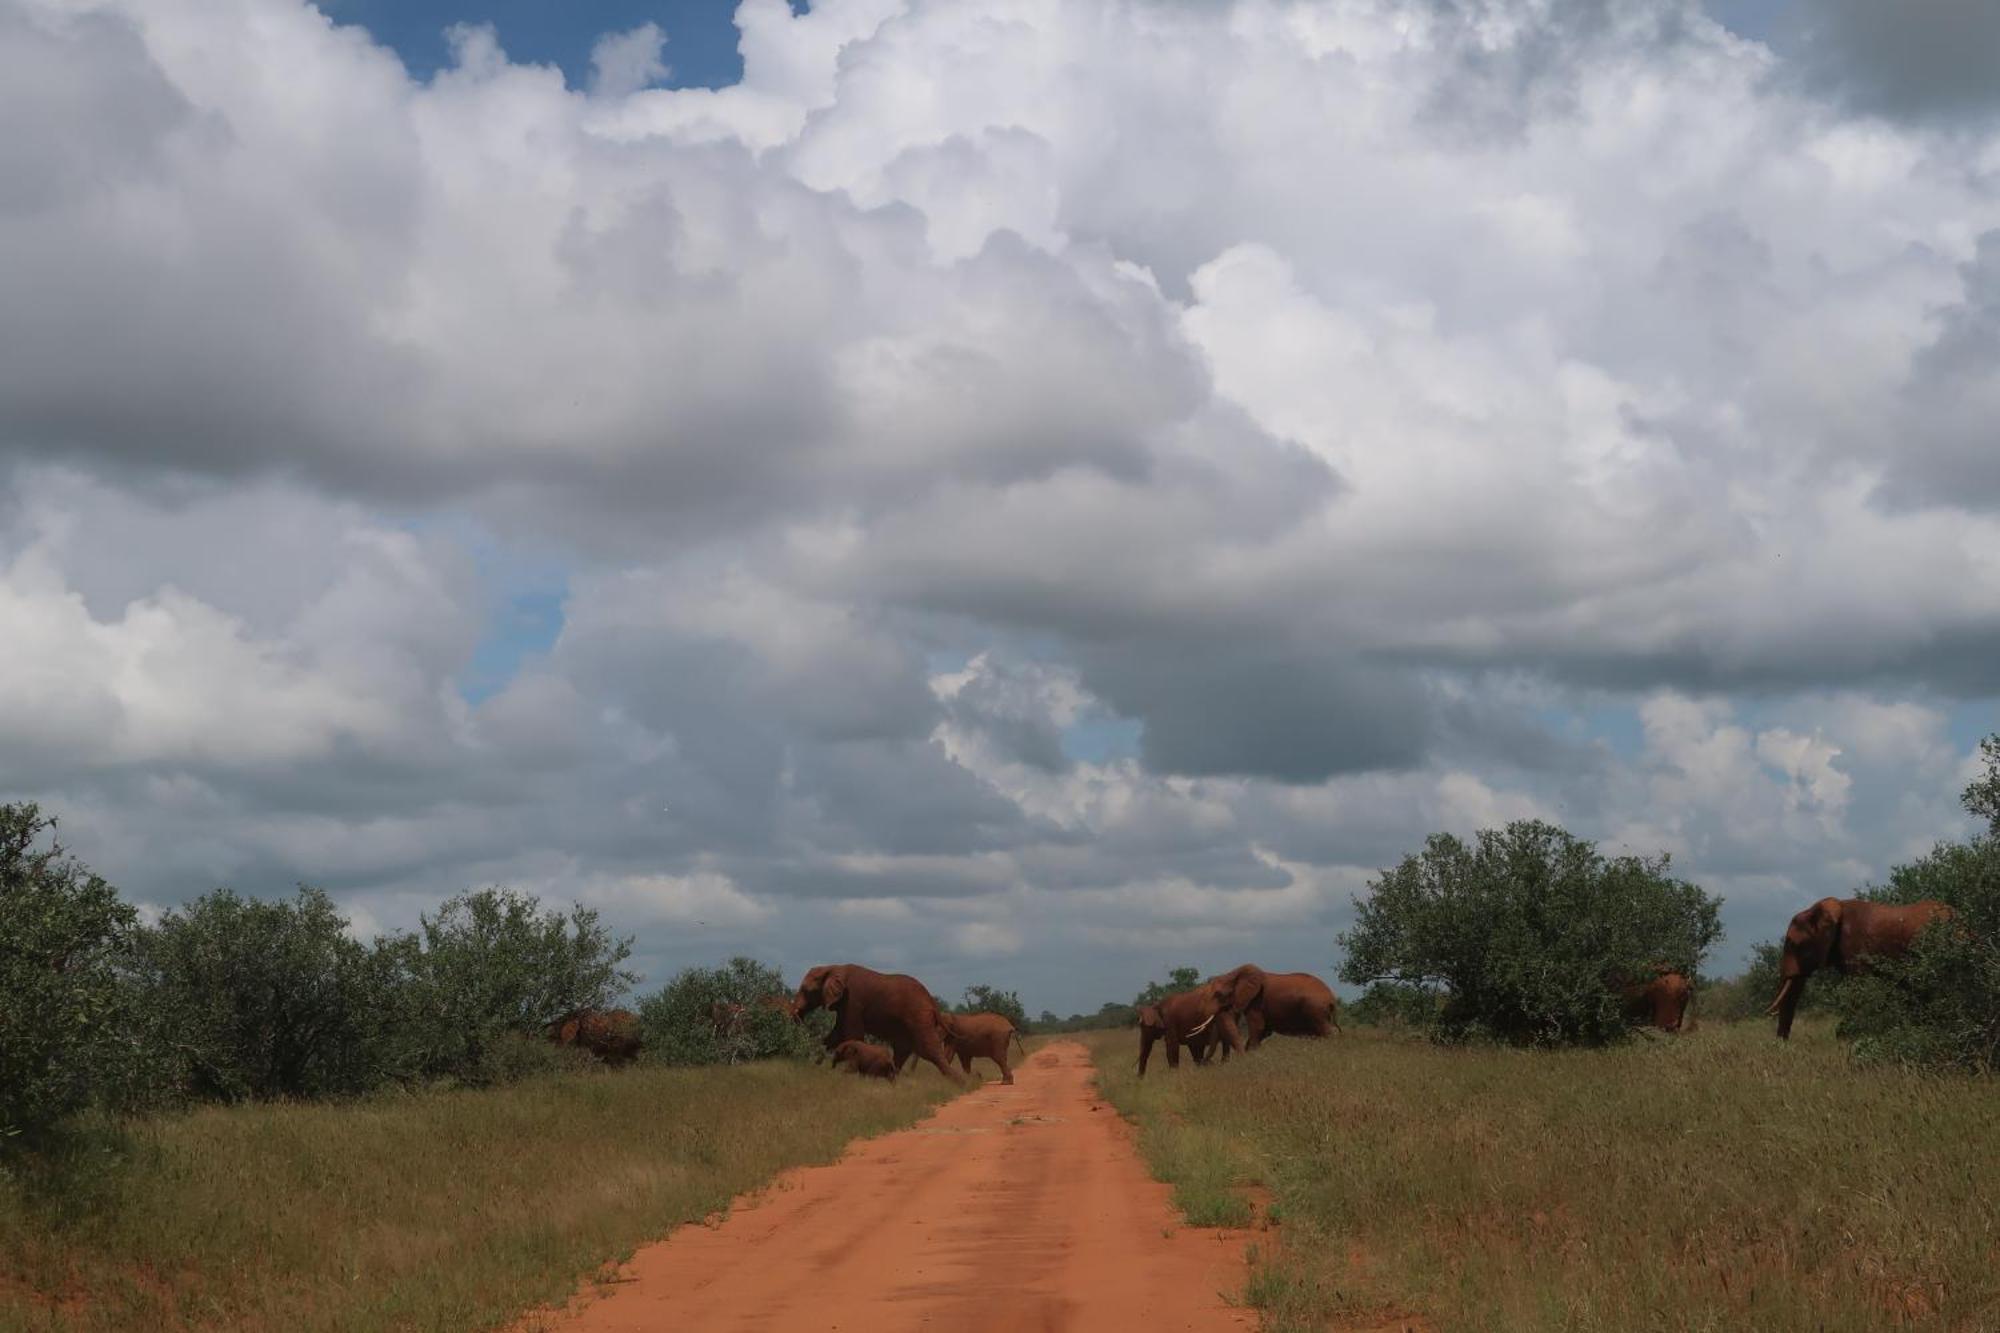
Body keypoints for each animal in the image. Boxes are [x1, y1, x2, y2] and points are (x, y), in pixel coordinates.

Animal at [788, 964, 960, 1080]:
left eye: (806, 990)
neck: (833, 967)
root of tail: (931, 999)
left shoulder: (853, 1001)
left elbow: (852, 1034)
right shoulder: (844, 1004)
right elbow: (836, 1035)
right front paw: (815, 1067)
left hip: (918, 1017)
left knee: (928, 1050)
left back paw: (959, 1083)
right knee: (903, 1049)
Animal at [1200, 960, 1344, 1040]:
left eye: (1218, 994)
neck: (1234, 973)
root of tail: (1331, 997)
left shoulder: (1256, 1000)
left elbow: (1258, 1028)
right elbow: (1264, 1031)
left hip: (1315, 1009)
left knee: (1326, 1030)